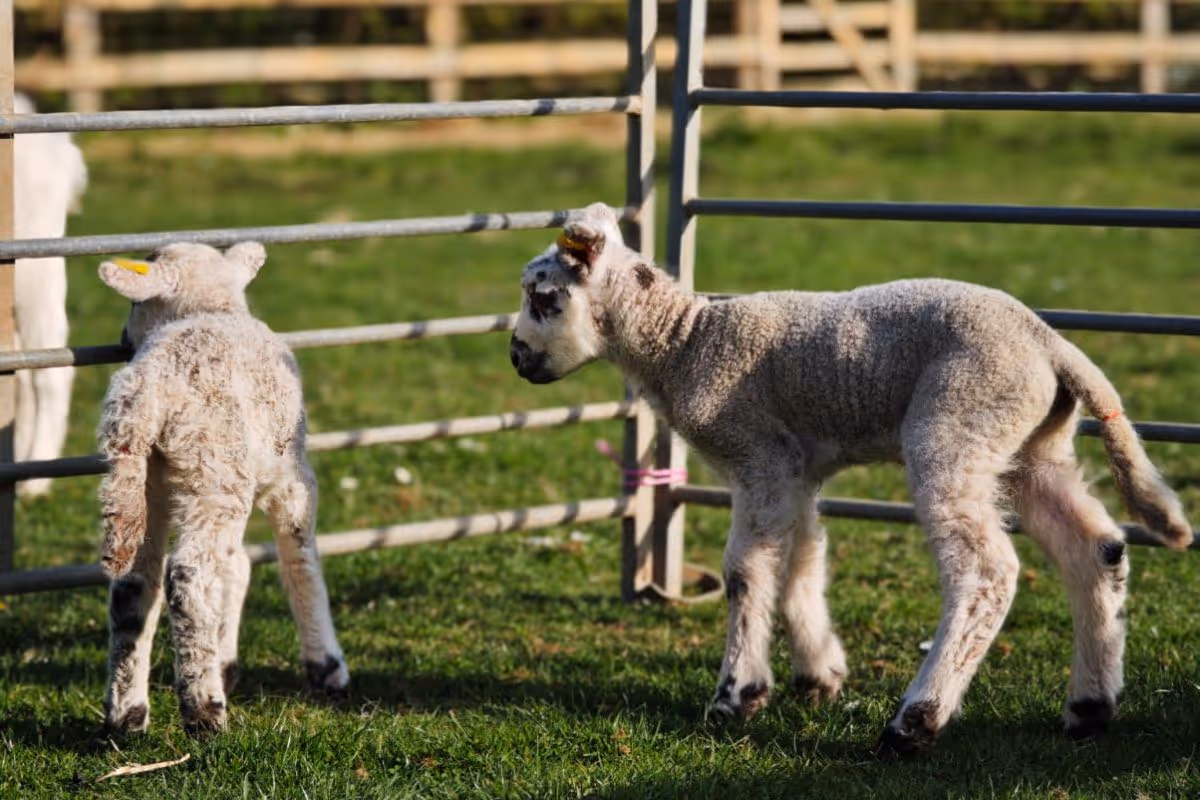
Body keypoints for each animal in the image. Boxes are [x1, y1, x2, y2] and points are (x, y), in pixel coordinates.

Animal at [96, 241, 349, 735]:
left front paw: (226, 658)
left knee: (134, 585)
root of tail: (147, 391)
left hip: (148, 483)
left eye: (135, 304)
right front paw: (326, 664)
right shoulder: (292, 478)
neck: (211, 305)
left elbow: (235, 567)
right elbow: (300, 556)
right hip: (213, 470)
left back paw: (127, 713)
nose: (120, 337)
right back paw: (203, 710)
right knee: (187, 577)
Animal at [509, 202, 1194, 758]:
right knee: (1096, 549)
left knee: (986, 571)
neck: (685, 344)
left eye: (544, 297)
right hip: (1031, 447)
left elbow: (745, 571)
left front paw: (736, 696)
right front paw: (819, 674)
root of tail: (1053, 347)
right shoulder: (797, 468)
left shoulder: (759, 454)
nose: (516, 358)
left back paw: (913, 723)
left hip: (957, 425)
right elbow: (801, 560)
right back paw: (1089, 708)